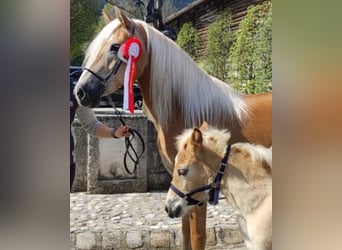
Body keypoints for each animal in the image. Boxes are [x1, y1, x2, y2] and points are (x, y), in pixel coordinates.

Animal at [75, 6, 272, 249]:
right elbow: (185, 234)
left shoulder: (196, 193)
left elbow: (197, 238)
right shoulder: (181, 191)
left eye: (114, 47)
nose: (81, 92)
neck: (186, 110)